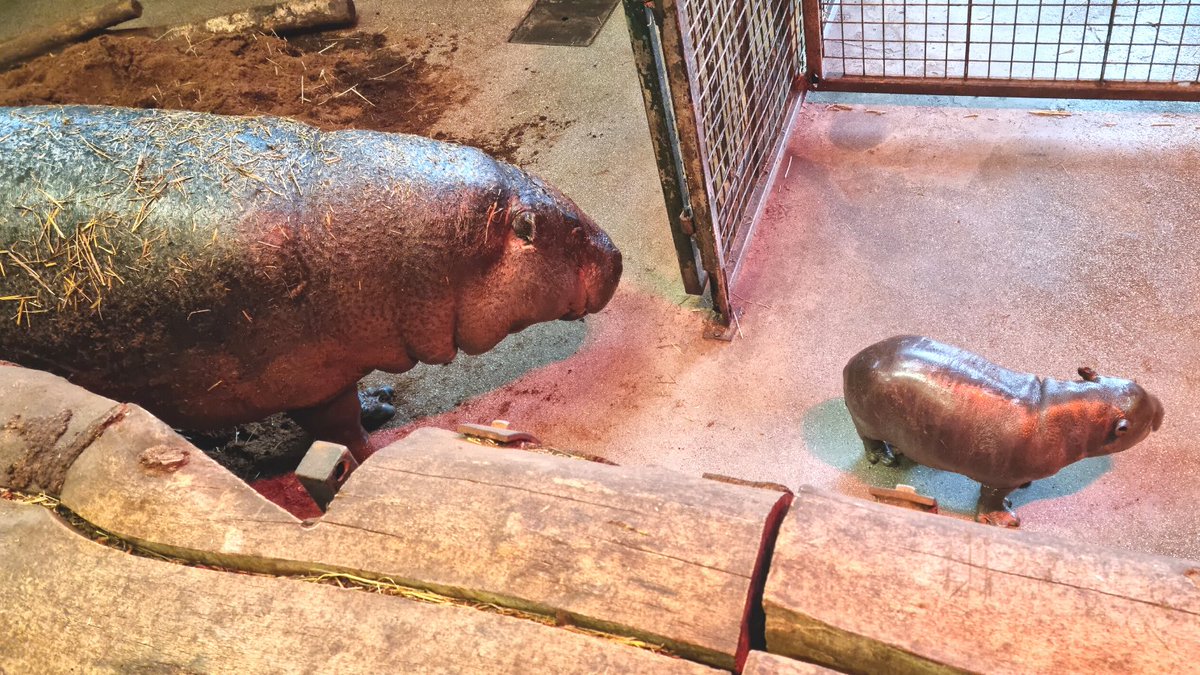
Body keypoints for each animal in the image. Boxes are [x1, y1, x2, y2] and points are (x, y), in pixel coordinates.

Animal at [0, 106, 621, 461]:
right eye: (560, 229)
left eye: (561, 197)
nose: (617, 256)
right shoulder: (309, 375)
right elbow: (340, 430)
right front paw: (373, 451)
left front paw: (382, 402)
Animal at [843, 335, 1163, 527]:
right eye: (1129, 426)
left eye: (1134, 381)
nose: (1160, 407)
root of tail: (851, 361)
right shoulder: (998, 479)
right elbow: (991, 499)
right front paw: (1005, 520)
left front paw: (1025, 487)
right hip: (865, 421)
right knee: (868, 440)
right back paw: (886, 459)